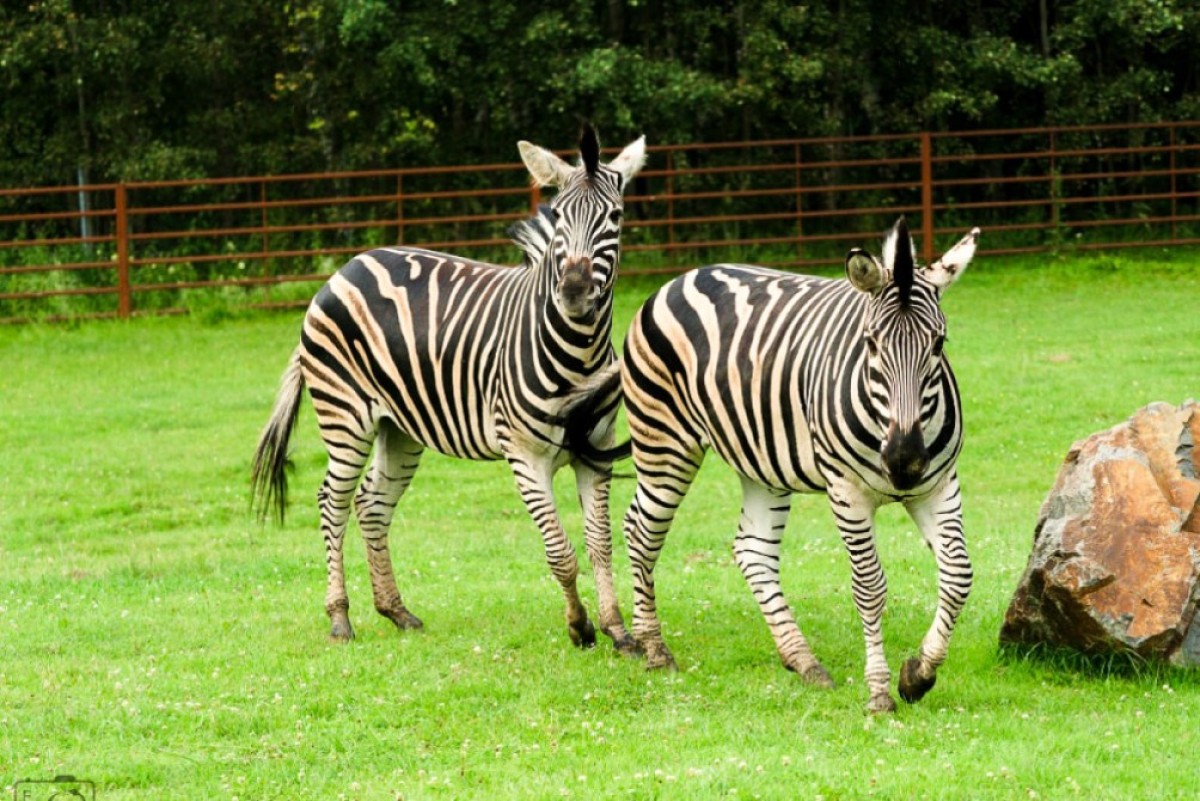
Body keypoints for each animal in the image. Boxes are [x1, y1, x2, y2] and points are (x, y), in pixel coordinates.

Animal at [252, 126, 647, 651]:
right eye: (560, 216)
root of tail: (346, 268)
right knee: (332, 501)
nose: (574, 293)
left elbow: (600, 544)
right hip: (345, 416)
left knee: (371, 504)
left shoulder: (596, 451)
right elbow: (560, 552)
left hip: (398, 427)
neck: (576, 353)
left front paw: (618, 630)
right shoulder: (524, 455)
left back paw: (396, 610)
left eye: (615, 217)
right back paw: (340, 618)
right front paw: (580, 627)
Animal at [617, 217, 979, 713]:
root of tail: (681, 278)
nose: (904, 461)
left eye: (938, 343)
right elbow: (869, 587)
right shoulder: (846, 492)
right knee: (640, 531)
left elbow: (959, 575)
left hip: (759, 461)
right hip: (664, 443)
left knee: (751, 549)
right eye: (870, 344)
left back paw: (802, 660)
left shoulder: (938, 485)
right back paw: (653, 648)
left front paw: (919, 675)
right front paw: (879, 691)